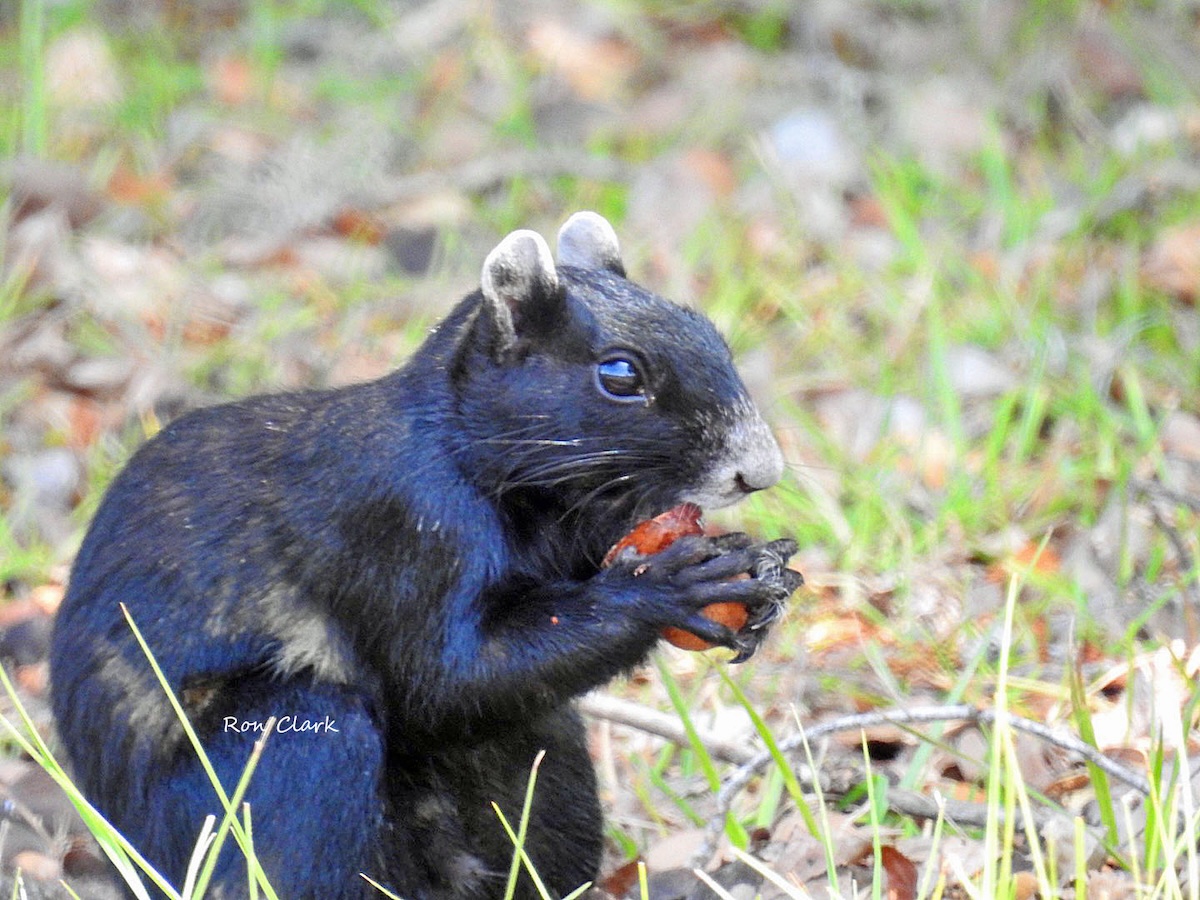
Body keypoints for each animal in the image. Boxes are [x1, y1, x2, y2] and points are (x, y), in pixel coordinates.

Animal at [49, 212, 803, 899]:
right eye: (619, 373)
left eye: (712, 334)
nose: (760, 470)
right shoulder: (401, 525)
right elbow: (445, 679)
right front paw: (667, 587)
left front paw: (762, 570)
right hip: (285, 745)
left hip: (539, 759)